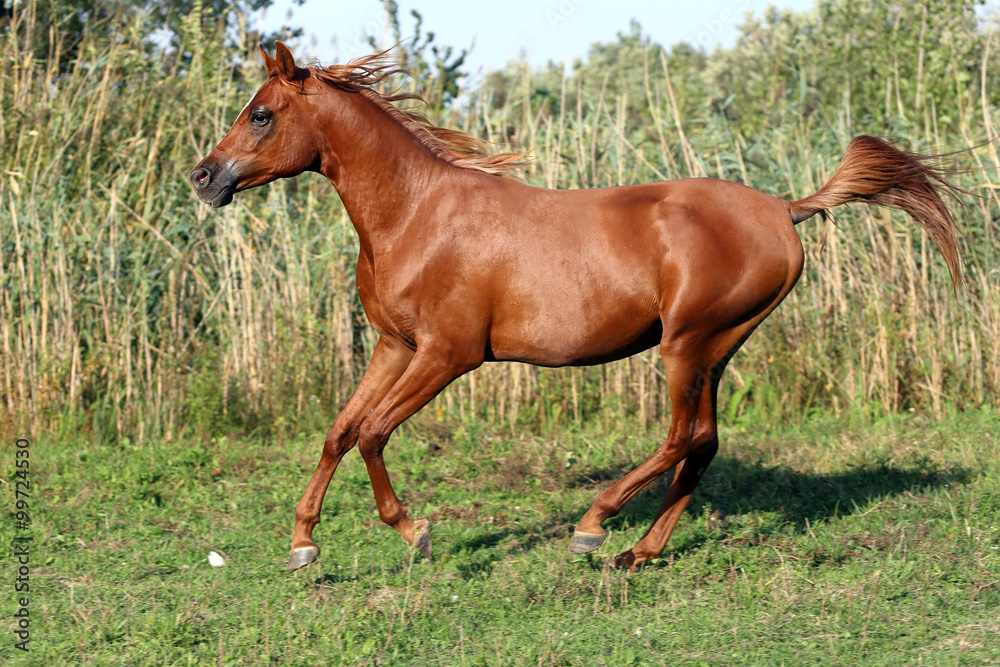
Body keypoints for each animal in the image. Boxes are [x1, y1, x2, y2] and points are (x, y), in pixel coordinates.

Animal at [189, 42, 963, 573]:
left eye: (262, 114)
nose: (202, 176)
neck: (415, 214)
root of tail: (784, 208)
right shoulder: (394, 346)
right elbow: (340, 432)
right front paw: (302, 544)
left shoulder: (448, 354)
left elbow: (375, 433)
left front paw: (416, 531)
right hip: (717, 348)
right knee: (704, 444)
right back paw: (638, 553)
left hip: (687, 343)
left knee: (683, 437)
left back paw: (594, 526)